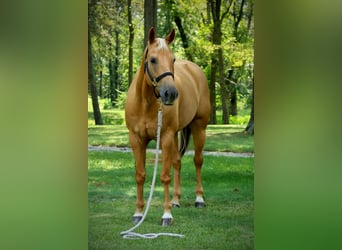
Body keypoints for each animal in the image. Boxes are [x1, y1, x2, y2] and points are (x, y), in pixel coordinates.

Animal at [124, 27, 210, 227]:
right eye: (153, 59)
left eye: (173, 59)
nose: (170, 93)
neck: (146, 102)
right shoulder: (136, 140)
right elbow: (140, 175)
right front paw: (138, 213)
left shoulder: (165, 137)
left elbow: (164, 176)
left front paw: (166, 215)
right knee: (177, 162)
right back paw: (175, 200)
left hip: (199, 128)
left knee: (198, 161)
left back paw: (199, 199)